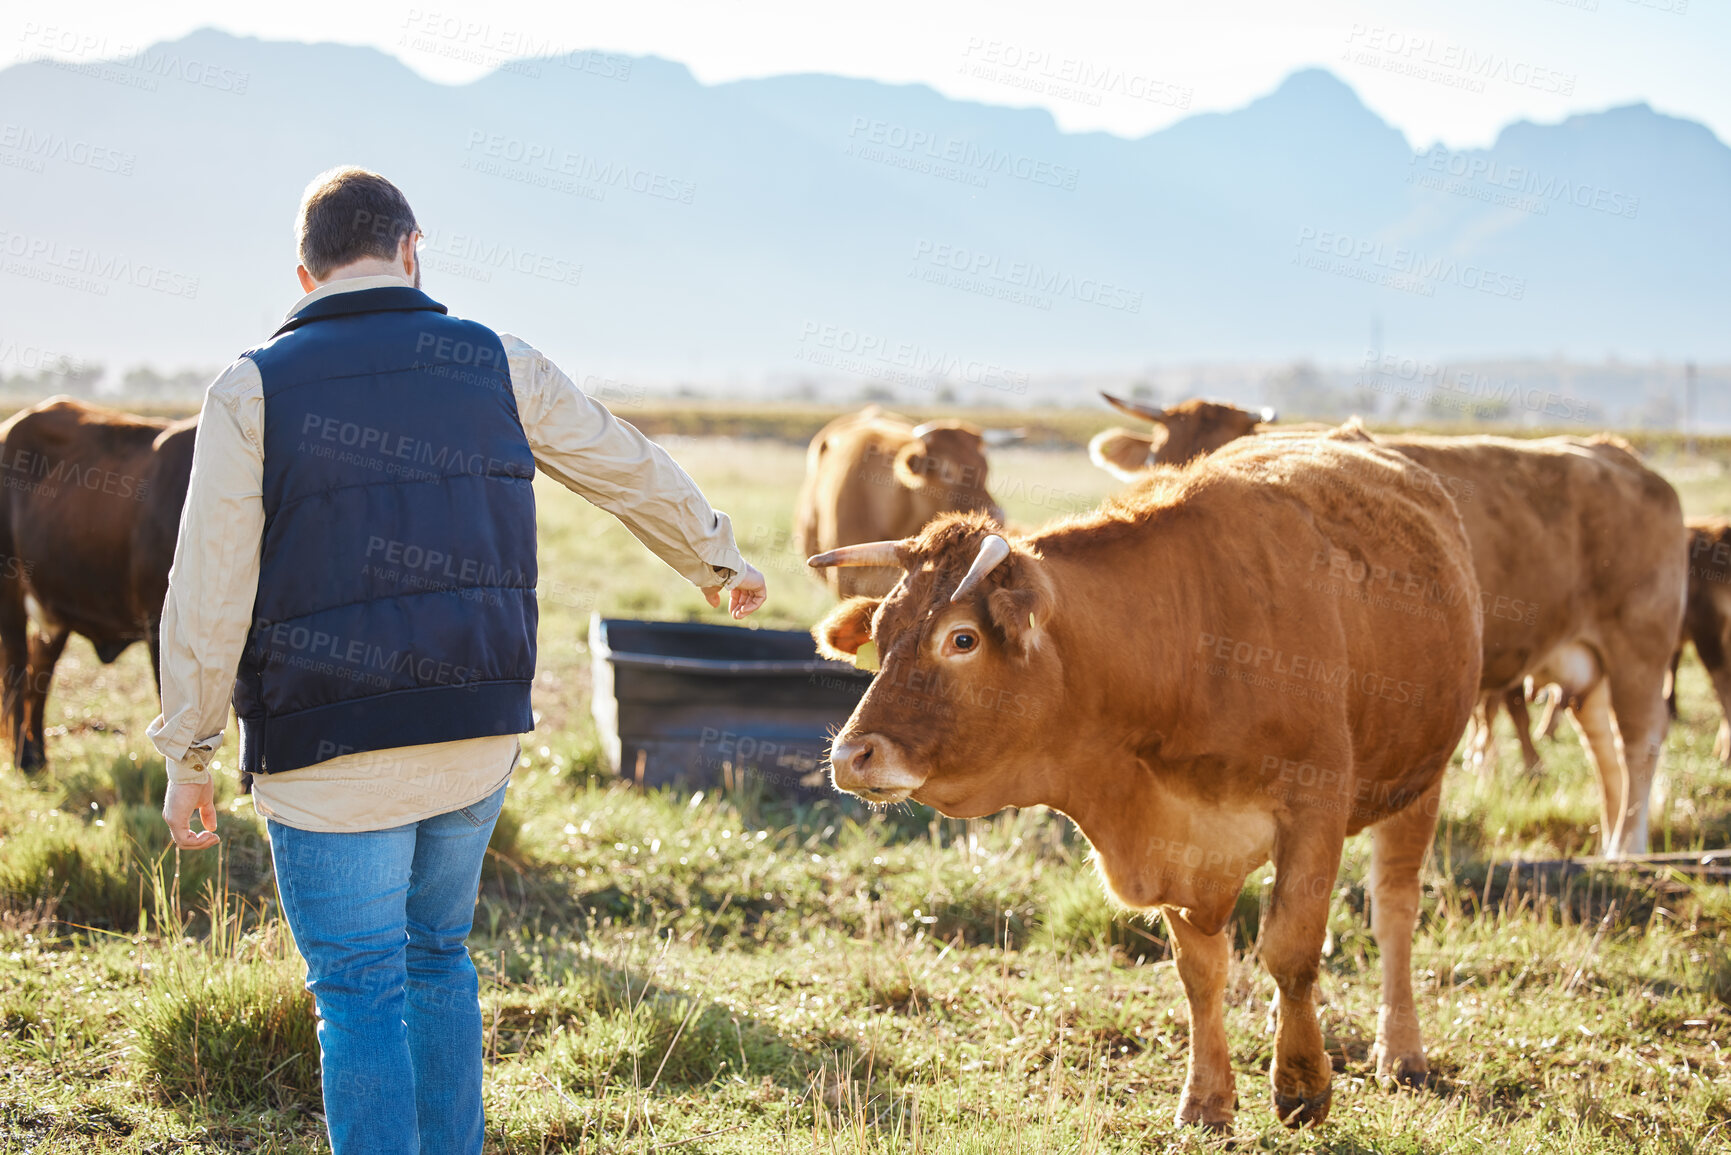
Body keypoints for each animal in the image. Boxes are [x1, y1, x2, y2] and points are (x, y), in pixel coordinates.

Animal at [0, 401, 196, 772]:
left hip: (55, 604)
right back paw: (24, 757)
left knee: (40, 669)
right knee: (17, 668)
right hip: (11, 593)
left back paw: (38, 757)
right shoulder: (158, 624)